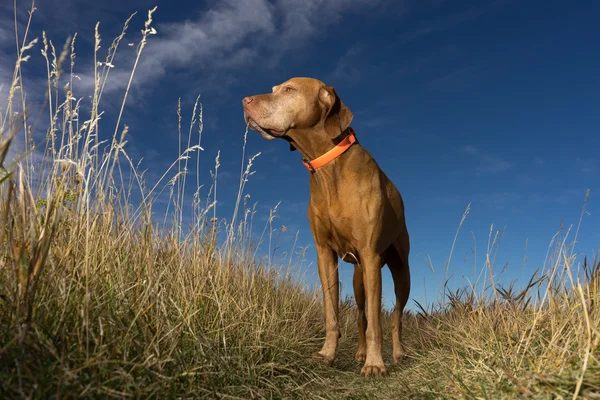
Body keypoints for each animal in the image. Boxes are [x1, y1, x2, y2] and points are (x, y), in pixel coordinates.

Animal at [241, 76, 410, 376]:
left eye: (289, 89)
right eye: (274, 90)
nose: (244, 101)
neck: (328, 165)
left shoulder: (369, 253)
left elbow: (377, 322)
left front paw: (375, 364)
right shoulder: (325, 254)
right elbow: (333, 314)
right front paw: (328, 354)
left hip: (401, 272)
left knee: (396, 317)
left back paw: (397, 353)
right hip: (359, 278)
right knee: (361, 315)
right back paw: (360, 353)